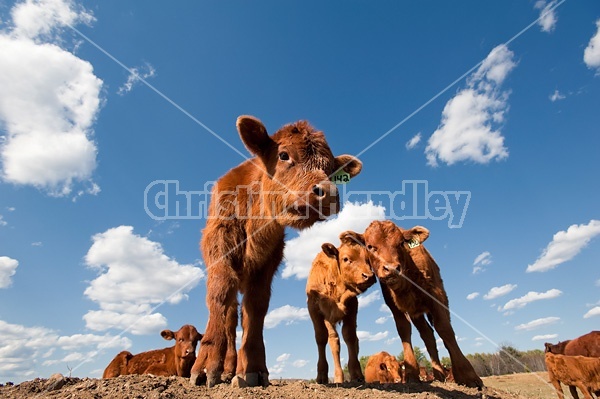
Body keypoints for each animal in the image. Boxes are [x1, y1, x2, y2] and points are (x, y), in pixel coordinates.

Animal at [192, 116, 360, 388]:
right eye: (283, 155)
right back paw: (227, 368)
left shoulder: (267, 264)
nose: (330, 194)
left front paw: (254, 369)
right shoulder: (219, 248)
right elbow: (219, 294)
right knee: (229, 316)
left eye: (331, 170)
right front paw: (207, 365)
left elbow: (256, 309)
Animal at [304, 231, 376, 384]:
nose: (369, 276)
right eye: (346, 259)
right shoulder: (318, 311)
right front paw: (326, 375)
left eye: (367, 258)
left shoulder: (352, 307)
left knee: (355, 341)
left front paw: (356, 373)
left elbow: (349, 336)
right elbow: (326, 339)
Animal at [360, 220, 482, 390]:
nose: (391, 269)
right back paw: (438, 374)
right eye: (370, 246)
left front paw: (468, 375)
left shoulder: (435, 296)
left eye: (401, 243)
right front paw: (412, 374)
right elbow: (404, 331)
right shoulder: (395, 306)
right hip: (416, 313)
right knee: (428, 335)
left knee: (441, 330)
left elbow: (445, 329)